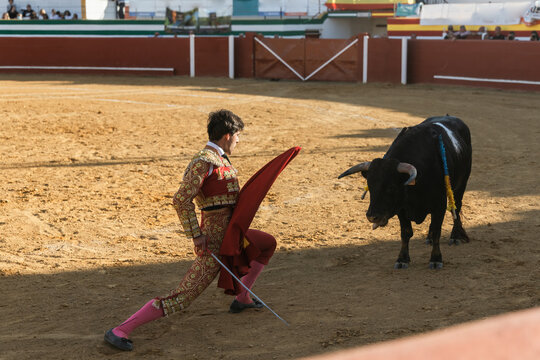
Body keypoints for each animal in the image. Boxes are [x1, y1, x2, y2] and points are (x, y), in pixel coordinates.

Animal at [340, 116, 470, 268]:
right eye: (370, 186)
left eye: (391, 187)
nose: (372, 217)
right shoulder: (401, 208)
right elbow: (406, 232)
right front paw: (402, 259)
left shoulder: (440, 205)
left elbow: (437, 230)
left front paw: (436, 259)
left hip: (461, 186)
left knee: (457, 208)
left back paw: (455, 236)